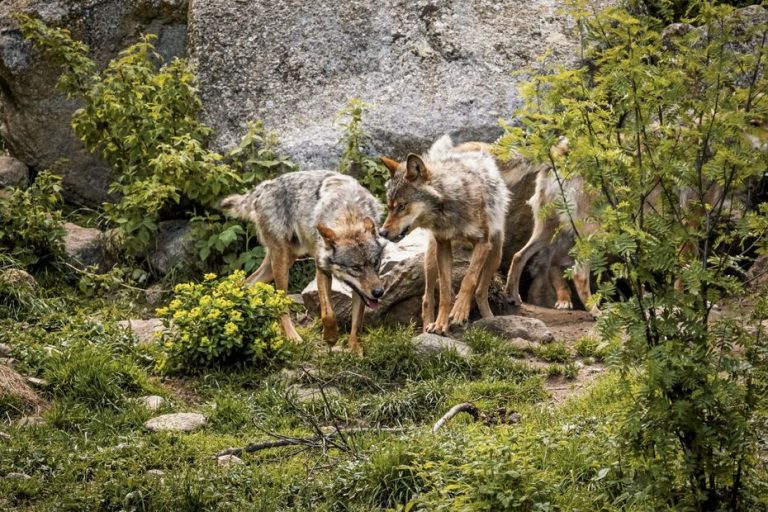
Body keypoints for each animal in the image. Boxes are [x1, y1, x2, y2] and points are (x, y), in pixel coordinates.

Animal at [220, 171, 385, 355]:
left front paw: (355, 348)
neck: (349, 214)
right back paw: (292, 337)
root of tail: (263, 187)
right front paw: (330, 337)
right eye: (356, 268)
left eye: (375, 263)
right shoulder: (322, 270)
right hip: (282, 264)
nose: (379, 292)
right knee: (279, 303)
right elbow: (328, 314)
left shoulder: (362, 291)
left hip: (281, 262)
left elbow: (357, 321)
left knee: (246, 283)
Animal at [379, 135, 510, 334]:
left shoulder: (482, 243)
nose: (382, 232)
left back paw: (489, 318)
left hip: (495, 252)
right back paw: (427, 327)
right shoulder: (443, 246)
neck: (447, 209)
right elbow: (445, 293)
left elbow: (468, 280)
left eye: (402, 206)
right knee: (427, 298)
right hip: (431, 257)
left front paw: (460, 312)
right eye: (389, 206)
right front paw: (440, 324)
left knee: (481, 291)